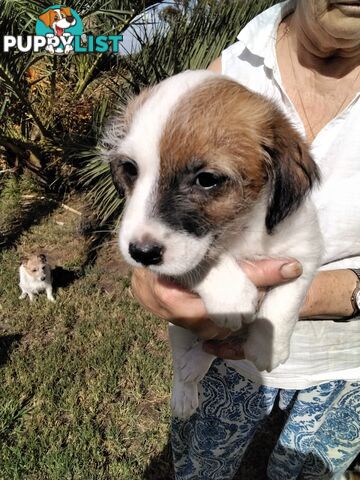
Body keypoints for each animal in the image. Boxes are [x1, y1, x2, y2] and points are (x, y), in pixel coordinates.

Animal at [105, 69, 324, 418]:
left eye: (206, 179)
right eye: (129, 169)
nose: (140, 253)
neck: (239, 232)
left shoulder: (305, 251)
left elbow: (285, 301)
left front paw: (268, 345)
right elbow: (201, 261)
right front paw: (232, 293)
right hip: (177, 328)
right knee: (188, 357)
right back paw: (185, 387)